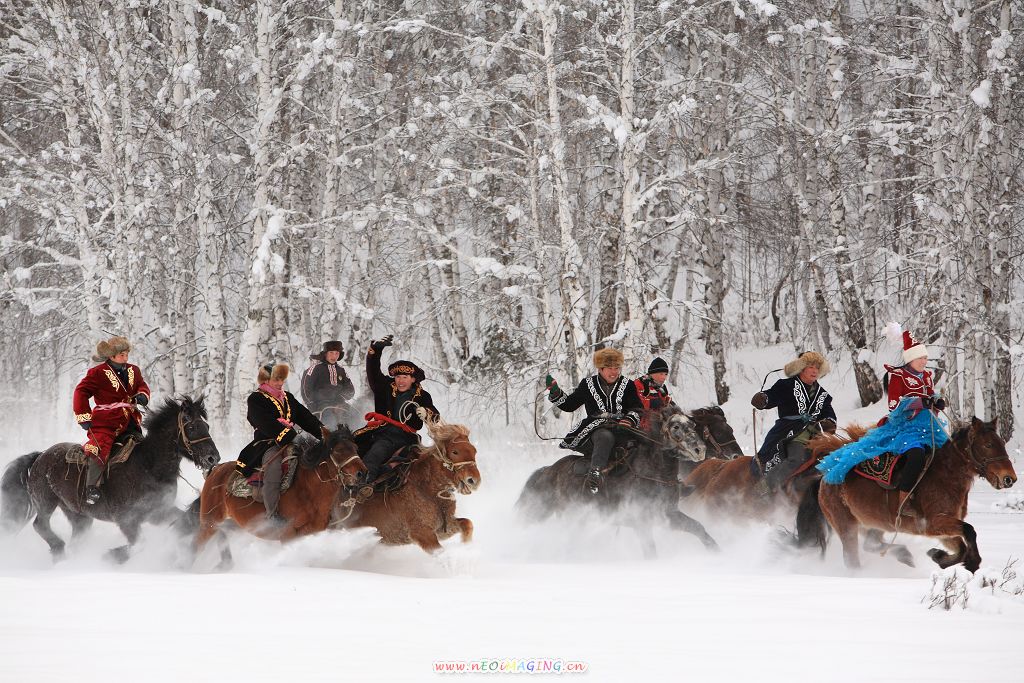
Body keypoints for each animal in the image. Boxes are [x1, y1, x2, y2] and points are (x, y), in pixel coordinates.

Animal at [1, 397, 218, 565]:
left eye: (207, 426)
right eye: (192, 427)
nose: (213, 458)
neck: (147, 466)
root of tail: (40, 456)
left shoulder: (158, 512)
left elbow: (181, 521)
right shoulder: (127, 519)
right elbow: (140, 544)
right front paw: (112, 556)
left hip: (79, 515)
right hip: (46, 502)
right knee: (40, 525)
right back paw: (59, 550)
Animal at [192, 423, 368, 569]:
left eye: (355, 448)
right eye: (338, 450)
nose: (362, 473)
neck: (307, 490)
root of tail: (215, 471)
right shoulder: (288, 535)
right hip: (209, 523)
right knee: (197, 545)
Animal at [335, 417, 479, 557]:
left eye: (474, 451)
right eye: (455, 452)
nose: (474, 480)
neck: (427, 489)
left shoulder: (443, 527)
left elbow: (467, 524)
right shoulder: (422, 533)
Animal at [516, 401, 724, 557]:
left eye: (693, 425)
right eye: (676, 426)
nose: (700, 450)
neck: (654, 473)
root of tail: (550, 470)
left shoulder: (668, 514)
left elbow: (698, 527)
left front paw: (717, 551)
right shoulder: (642, 522)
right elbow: (650, 551)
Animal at [798, 417, 1015, 573]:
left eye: (1001, 443)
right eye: (988, 445)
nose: (1009, 478)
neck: (945, 475)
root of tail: (824, 478)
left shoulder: (944, 528)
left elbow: (961, 546)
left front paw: (938, 556)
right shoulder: (933, 523)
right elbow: (969, 531)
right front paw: (972, 563)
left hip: (873, 524)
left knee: (871, 545)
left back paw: (905, 555)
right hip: (846, 527)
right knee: (853, 560)